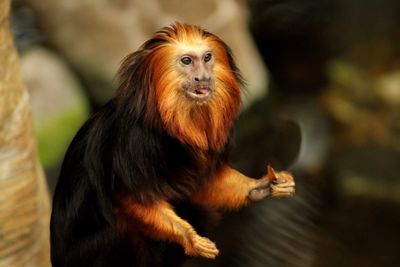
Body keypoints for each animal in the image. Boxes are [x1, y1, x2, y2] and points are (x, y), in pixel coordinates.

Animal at [49, 23, 294, 267]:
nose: (203, 77)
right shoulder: (134, 144)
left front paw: (261, 186)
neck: (170, 123)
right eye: (187, 61)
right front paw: (189, 237)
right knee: (122, 226)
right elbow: (135, 199)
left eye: (207, 58)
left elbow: (202, 184)